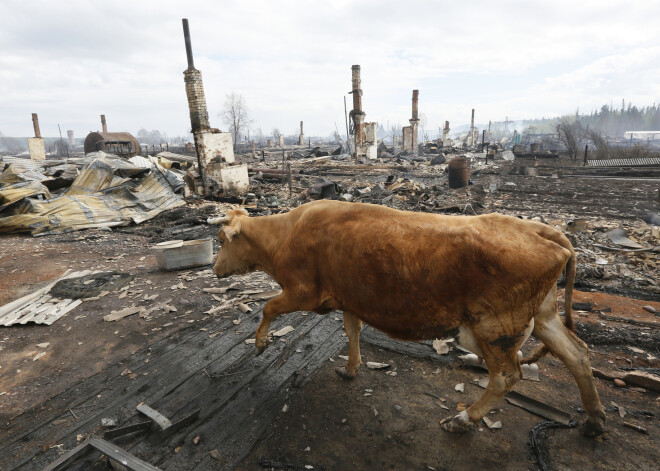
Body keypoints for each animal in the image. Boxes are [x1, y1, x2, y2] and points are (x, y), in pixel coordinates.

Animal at [214, 201, 604, 436]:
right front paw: (351, 368)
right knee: (578, 354)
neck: (285, 236)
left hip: (497, 326)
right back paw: (594, 419)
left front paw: (261, 343)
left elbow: (268, 307)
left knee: (507, 376)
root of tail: (543, 230)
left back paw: (464, 418)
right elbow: (352, 330)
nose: (214, 268)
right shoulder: (350, 296)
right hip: (543, 315)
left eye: (220, 239)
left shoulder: (303, 292)